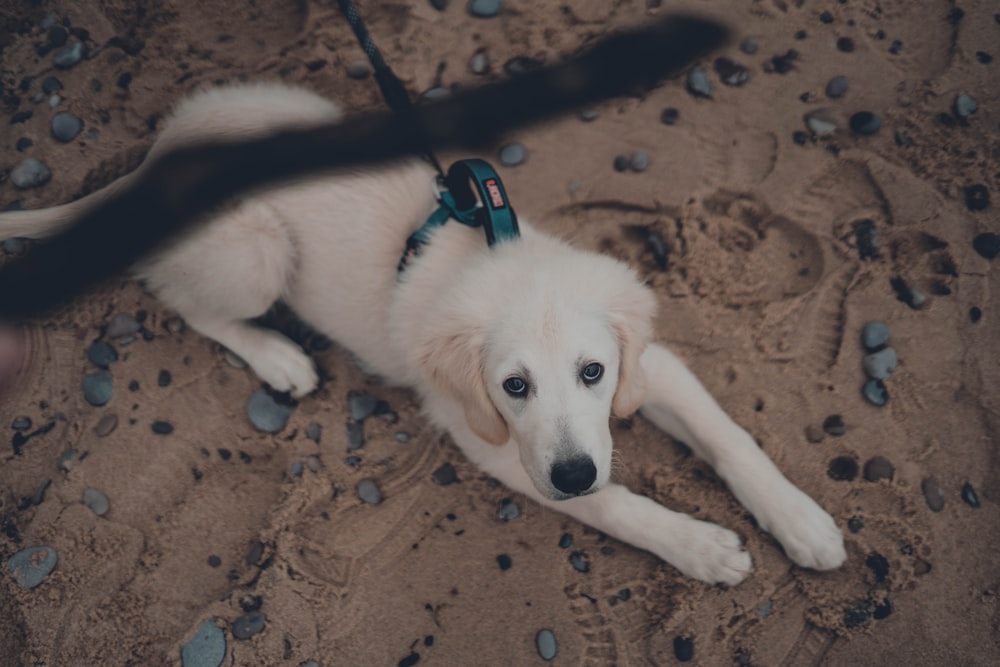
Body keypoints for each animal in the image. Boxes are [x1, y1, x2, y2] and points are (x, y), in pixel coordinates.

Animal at [0, 85, 844, 584]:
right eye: (513, 385)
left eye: (594, 372)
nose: (573, 471)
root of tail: (155, 159)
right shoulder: (496, 443)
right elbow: (614, 505)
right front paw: (699, 545)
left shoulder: (652, 362)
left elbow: (728, 433)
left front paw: (802, 521)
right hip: (253, 253)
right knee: (178, 296)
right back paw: (277, 356)